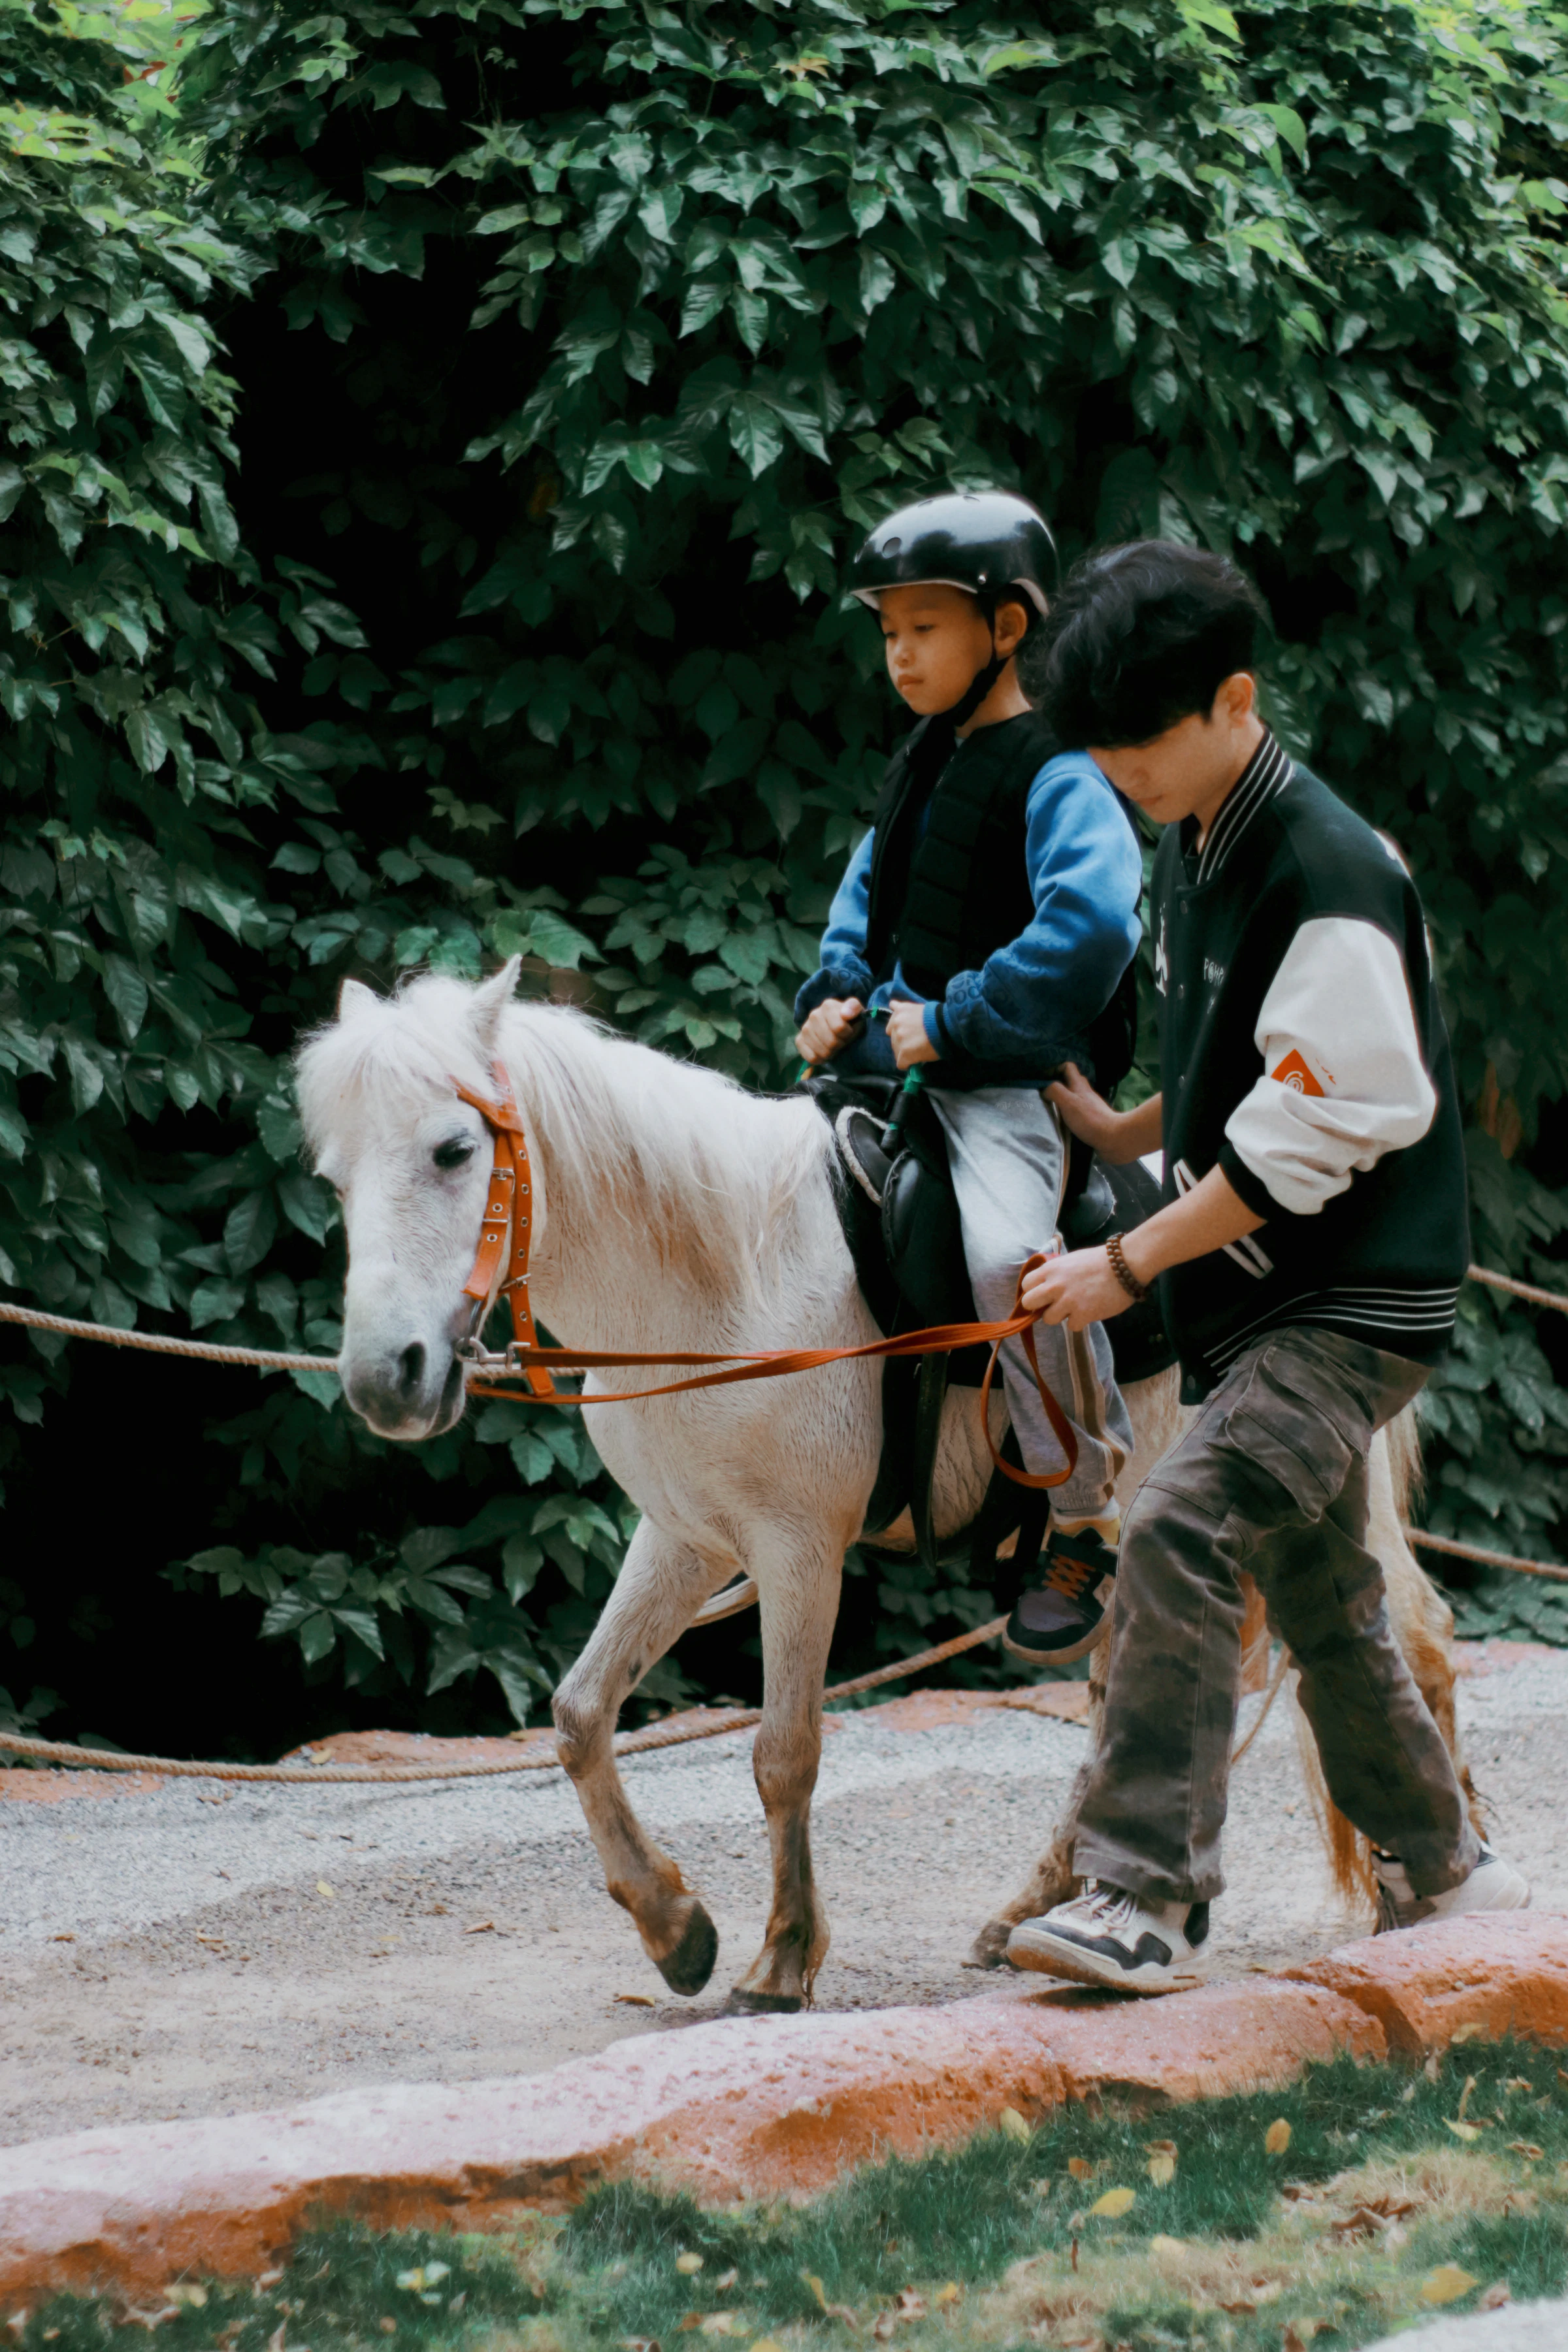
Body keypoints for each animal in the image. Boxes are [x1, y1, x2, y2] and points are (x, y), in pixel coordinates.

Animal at [297, 960, 1474, 2012]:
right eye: (336, 1178)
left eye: (454, 1149)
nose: (385, 1377)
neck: (722, 1276)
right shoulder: (685, 1539)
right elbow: (582, 1714)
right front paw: (677, 1931)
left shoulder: (797, 1552)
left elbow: (784, 1752)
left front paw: (781, 1959)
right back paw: (1052, 1911)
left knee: (1409, 1638)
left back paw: (1425, 1893)